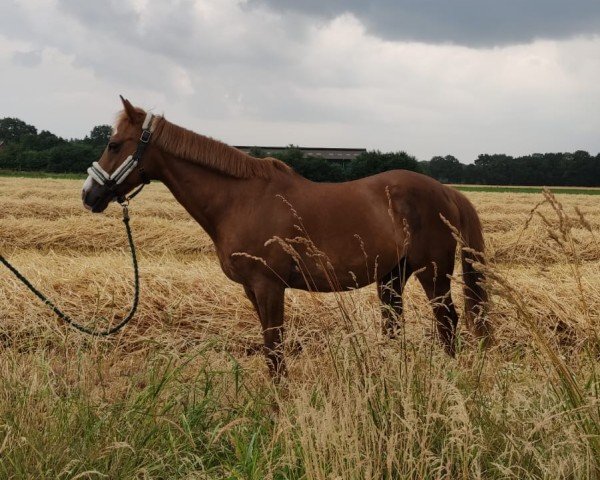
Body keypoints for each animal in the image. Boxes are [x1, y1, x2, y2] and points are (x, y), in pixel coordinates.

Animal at [81, 97, 492, 380]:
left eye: (114, 144)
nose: (89, 195)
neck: (240, 200)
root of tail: (446, 191)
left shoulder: (269, 286)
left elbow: (275, 347)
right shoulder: (252, 289)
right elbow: (270, 346)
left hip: (433, 273)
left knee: (447, 322)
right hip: (392, 277)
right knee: (395, 325)